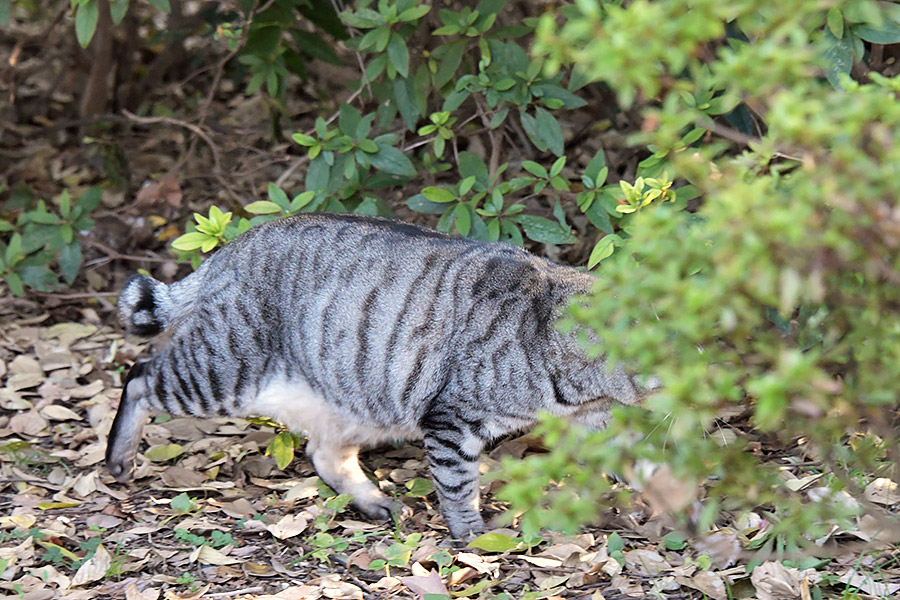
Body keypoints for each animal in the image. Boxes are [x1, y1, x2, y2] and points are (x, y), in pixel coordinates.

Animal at [105, 212, 656, 540]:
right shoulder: (451, 421)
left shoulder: (599, 423)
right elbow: (458, 485)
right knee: (139, 376)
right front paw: (473, 536)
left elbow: (645, 462)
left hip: (357, 401)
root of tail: (231, 247)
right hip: (222, 369)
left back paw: (371, 501)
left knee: (323, 452)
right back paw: (119, 457)